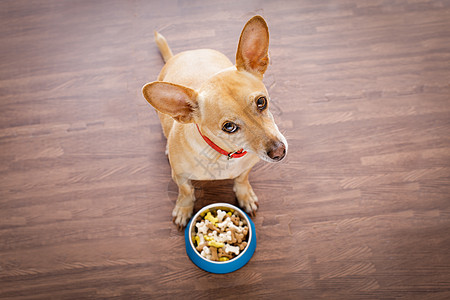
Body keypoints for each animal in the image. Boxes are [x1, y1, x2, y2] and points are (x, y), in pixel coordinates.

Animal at [142, 16, 286, 227]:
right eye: (229, 127)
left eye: (262, 102)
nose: (279, 152)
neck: (225, 154)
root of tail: (186, 53)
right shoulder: (180, 177)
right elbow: (186, 191)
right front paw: (183, 208)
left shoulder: (246, 169)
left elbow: (242, 179)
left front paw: (245, 195)